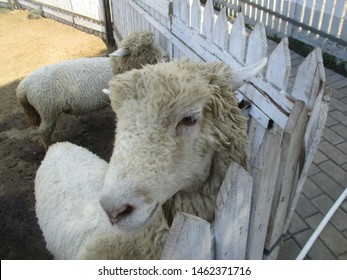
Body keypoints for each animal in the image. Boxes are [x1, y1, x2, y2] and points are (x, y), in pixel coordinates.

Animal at [17, 29, 167, 150]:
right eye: (143, 49)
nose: (164, 56)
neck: (115, 68)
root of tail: (23, 86)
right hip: (48, 109)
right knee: (44, 131)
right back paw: (49, 147)